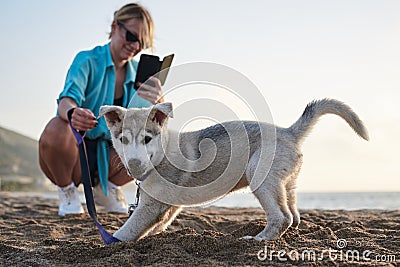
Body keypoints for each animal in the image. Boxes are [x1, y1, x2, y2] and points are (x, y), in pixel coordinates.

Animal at [99, 99, 368, 243]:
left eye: (147, 139)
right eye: (122, 139)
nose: (134, 164)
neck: (162, 153)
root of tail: (289, 132)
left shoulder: (151, 206)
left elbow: (125, 232)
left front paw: (111, 242)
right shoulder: (167, 207)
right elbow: (155, 226)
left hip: (260, 176)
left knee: (282, 217)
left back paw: (259, 239)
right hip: (286, 182)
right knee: (293, 214)